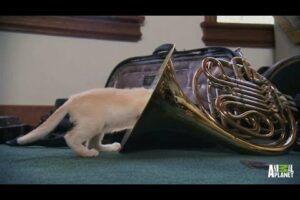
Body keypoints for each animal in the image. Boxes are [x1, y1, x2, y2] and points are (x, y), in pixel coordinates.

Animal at [14, 88, 152, 157]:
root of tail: (71, 99)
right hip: (93, 125)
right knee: (71, 137)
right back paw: (87, 153)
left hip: (100, 127)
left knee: (94, 144)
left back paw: (111, 147)